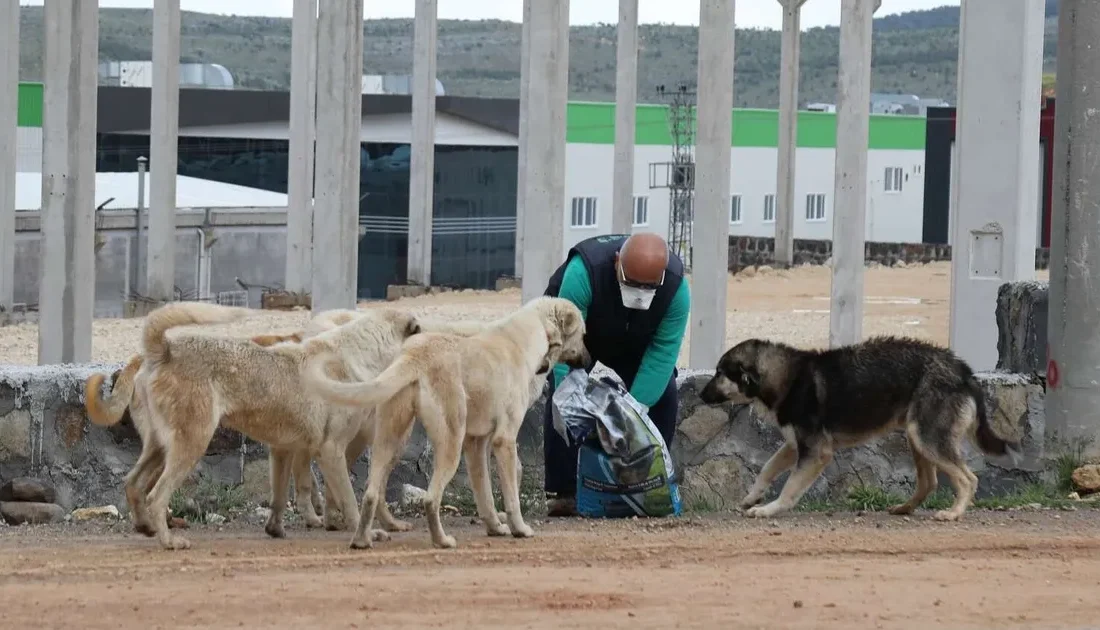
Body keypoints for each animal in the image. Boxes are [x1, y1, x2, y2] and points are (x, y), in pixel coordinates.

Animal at [301, 296, 589, 547]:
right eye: (583, 334)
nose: (588, 360)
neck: (525, 335)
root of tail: (415, 355)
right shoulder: (504, 441)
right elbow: (511, 496)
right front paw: (519, 529)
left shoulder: (475, 445)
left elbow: (484, 494)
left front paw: (495, 528)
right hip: (450, 443)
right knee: (430, 498)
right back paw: (441, 541)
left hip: (390, 439)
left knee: (371, 494)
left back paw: (362, 540)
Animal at [699, 334, 1016, 521]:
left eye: (719, 373)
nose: (700, 396)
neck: (786, 378)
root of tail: (964, 371)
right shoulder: (793, 446)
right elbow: (766, 469)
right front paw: (752, 497)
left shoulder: (816, 452)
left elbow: (789, 487)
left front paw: (769, 509)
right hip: (917, 438)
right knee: (929, 482)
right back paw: (904, 508)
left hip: (927, 439)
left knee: (968, 479)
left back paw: (953, 513)